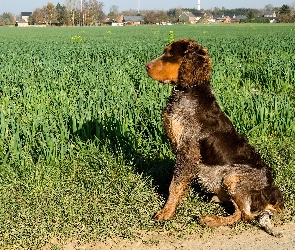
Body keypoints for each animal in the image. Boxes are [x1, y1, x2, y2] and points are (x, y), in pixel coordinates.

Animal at [146, 38, 284, 236]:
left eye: (171, 54)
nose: (146, 66)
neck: (188, 90)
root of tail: (273, 196)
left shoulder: (188, 151)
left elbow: (175, 185)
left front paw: (166, 212)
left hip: (232, 177)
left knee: (244, 215)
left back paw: (210, 219)